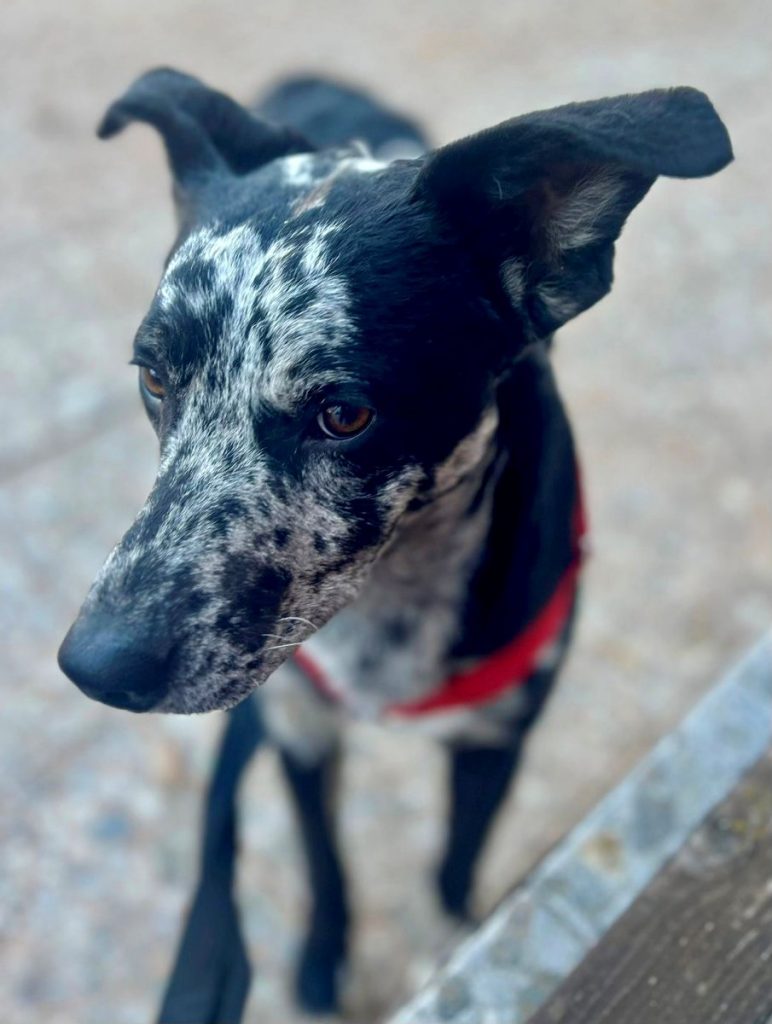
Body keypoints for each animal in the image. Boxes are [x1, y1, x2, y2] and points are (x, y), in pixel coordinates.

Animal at [58, 68, 732, 1014]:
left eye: (345, 414)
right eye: (154, 377)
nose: (97, 667)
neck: (392, 596)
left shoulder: (496, 739)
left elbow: (453, 868)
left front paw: (453, 955)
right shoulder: (296, 725)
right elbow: (324, 860)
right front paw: (322, 960)